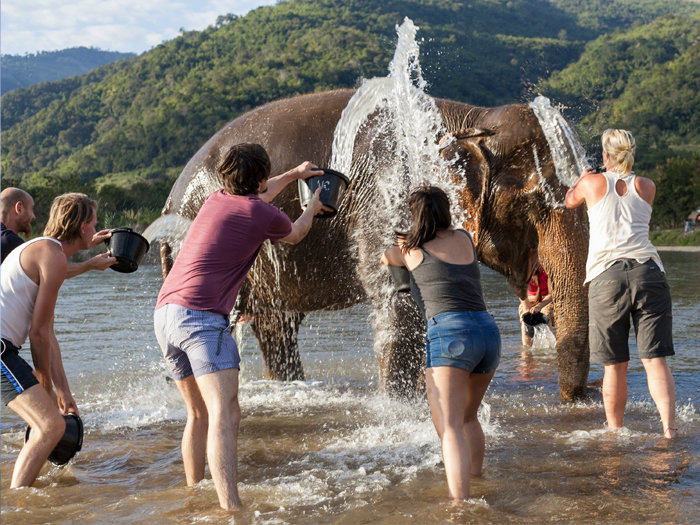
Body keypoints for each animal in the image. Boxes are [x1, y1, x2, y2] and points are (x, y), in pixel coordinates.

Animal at [154, 89, 592, 402]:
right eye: (534, 203)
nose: (572, 400)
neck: (470, 117)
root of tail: (169, 200)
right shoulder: (389, 189)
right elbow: (399, 299)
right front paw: (400, 406)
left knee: (275, 326)